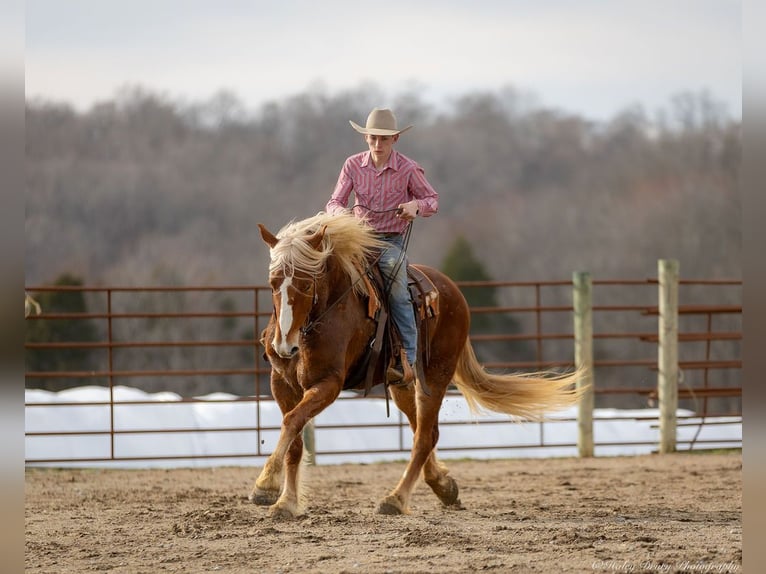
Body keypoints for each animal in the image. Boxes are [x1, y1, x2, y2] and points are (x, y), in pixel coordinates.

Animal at [250, 214, 584, 520]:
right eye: (273, 283)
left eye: (306, 283)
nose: (284, 346)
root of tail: (453, 292)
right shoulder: (281, 383)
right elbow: (294, 436)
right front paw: (286, 502)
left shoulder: (328, 384)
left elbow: (292, 421)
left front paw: (265, 487)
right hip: (401, 384)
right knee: (423, 430)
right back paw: (444, 486)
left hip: (435, 377)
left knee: (424, 438)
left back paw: (395, 499)